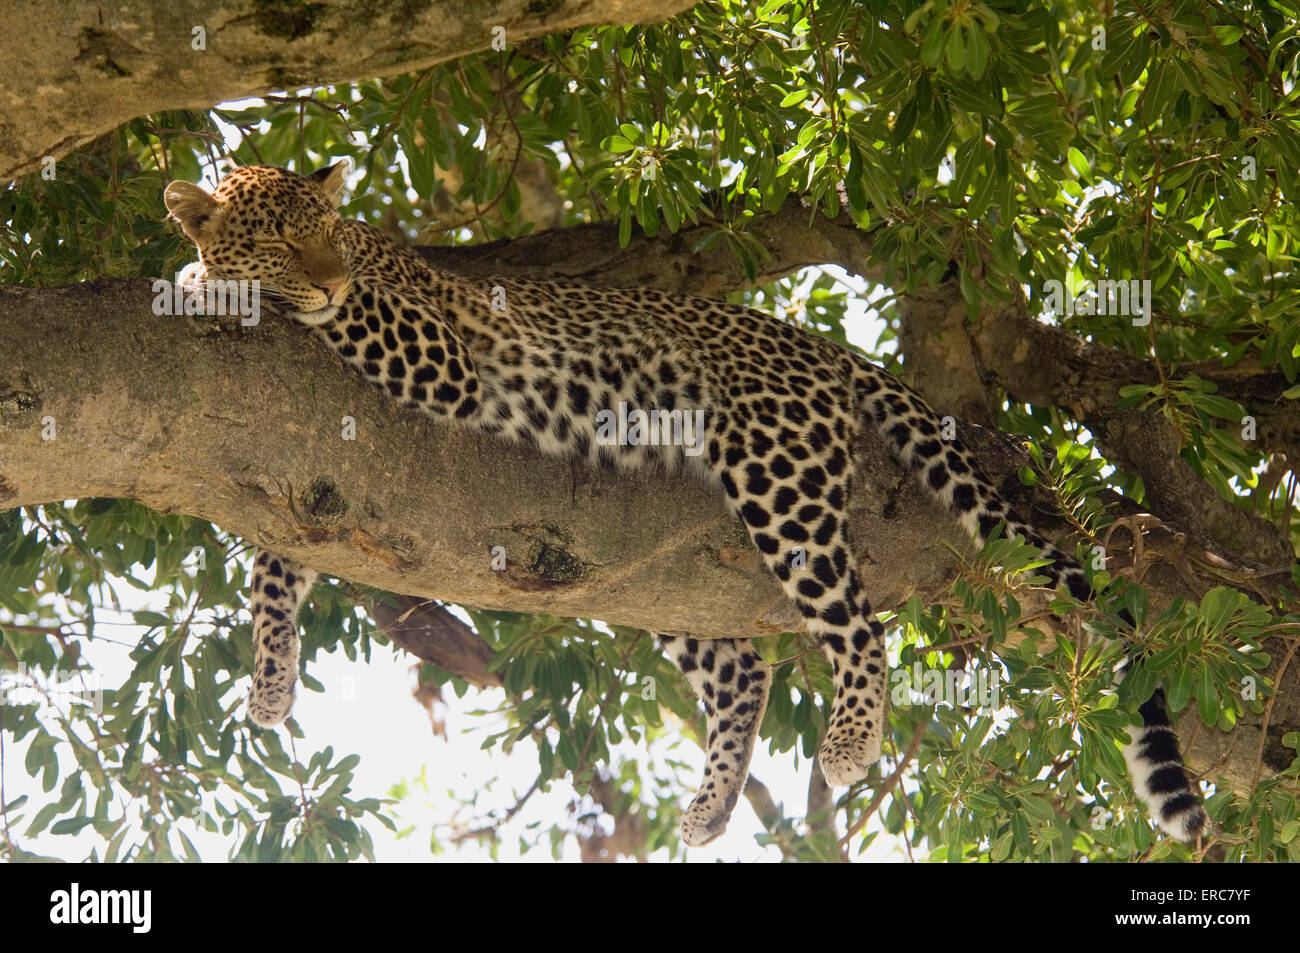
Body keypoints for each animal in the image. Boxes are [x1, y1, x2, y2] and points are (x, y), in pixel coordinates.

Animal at [162, 161, 1206, 847]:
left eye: (329, 234)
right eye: (282, 235)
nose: (331, 274)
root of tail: (822, 345)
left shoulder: (433, 352)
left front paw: (201, 278)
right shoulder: (313, 485)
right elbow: (277, 561)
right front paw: (270, 679)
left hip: (776, 471)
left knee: (858, 628)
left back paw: (849, 745)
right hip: (654, 580)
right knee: (745, 666)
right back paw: (710, 806)